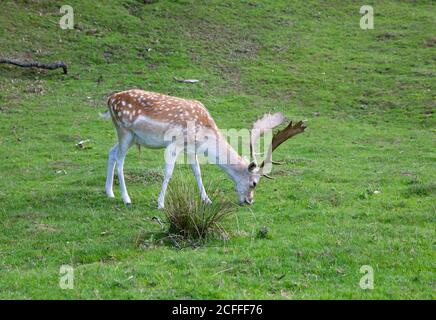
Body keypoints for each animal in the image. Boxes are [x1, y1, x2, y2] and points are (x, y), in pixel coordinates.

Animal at [102, 89, 306, 209]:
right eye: (254, 183)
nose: (249, 201)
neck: (204, 132)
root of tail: (110, 99)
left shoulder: (191, 148)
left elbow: (197, 171)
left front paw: (207, 199)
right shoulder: (174, 143)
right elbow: (168, 172)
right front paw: (160, 203)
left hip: (130, 136)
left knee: (111, 152)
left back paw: (109, 193)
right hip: (124, 131)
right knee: (120, 160)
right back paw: (126, 198)